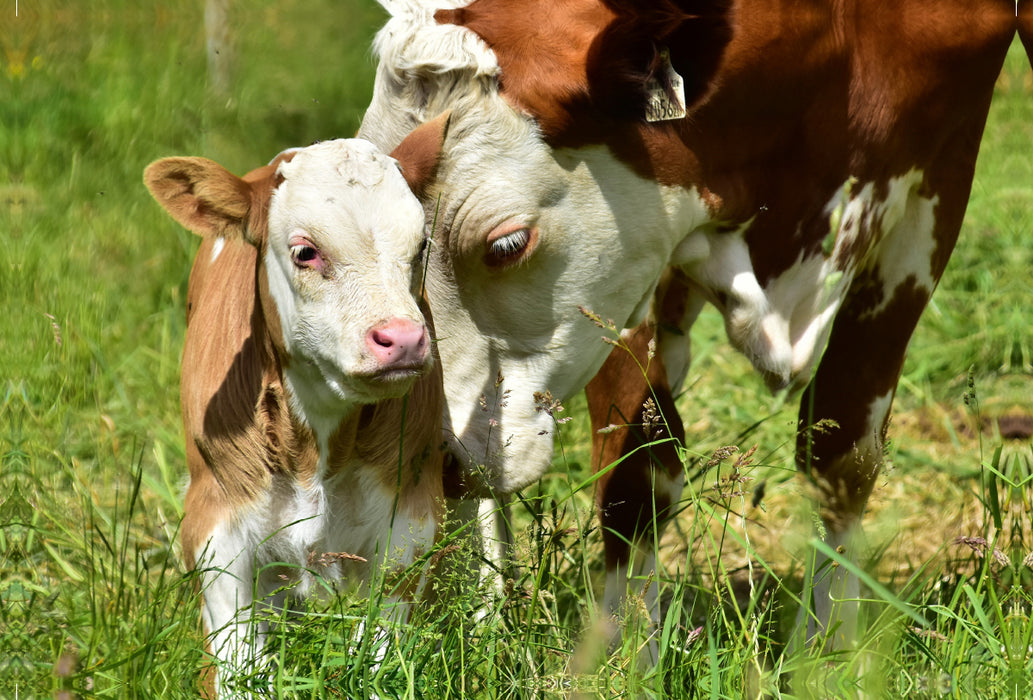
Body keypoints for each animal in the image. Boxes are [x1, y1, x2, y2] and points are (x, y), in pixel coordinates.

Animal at [144, 121, 448, 697]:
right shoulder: (215, 521)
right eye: (307, 252)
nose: (402, 339)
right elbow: (238, 664)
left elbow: (380, 656)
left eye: (421, 245)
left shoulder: (411, 517)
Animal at [353, 0, 1016, 656]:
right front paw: (623, 654)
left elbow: (843, 449)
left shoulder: (941, 160)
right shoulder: (631, 262)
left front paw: (826, 646)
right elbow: (638, 472)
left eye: (508, 244)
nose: (435, 456)